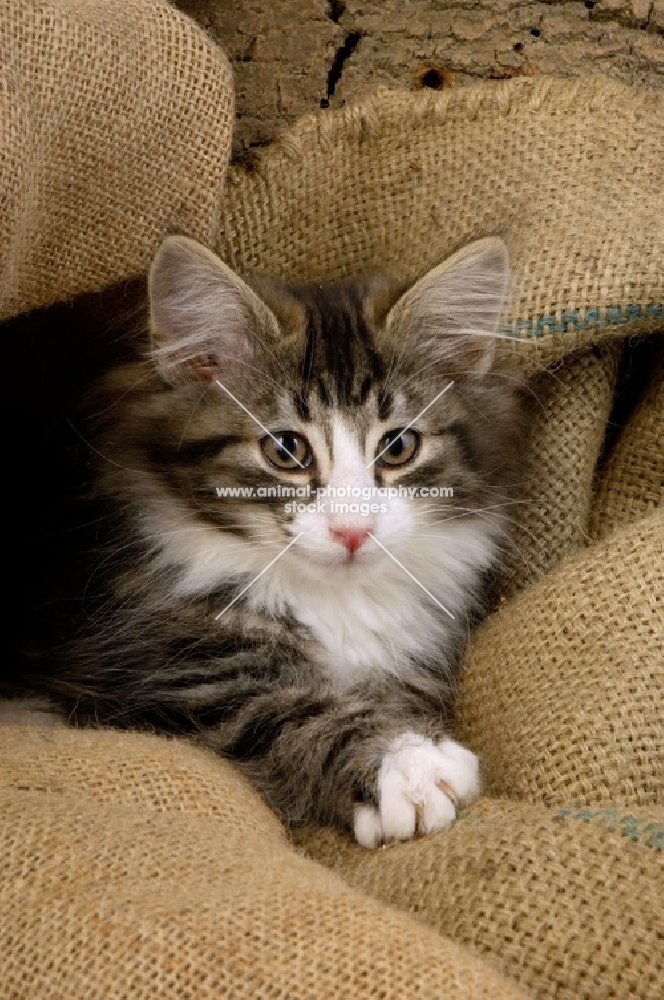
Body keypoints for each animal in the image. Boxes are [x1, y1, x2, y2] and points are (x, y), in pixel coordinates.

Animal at [11, 236, 528, 852]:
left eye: (399, 446)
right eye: (285, 450)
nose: (352, 530)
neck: (334, 600)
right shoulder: (155, 673)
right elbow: (278, 708)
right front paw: (405, 766)